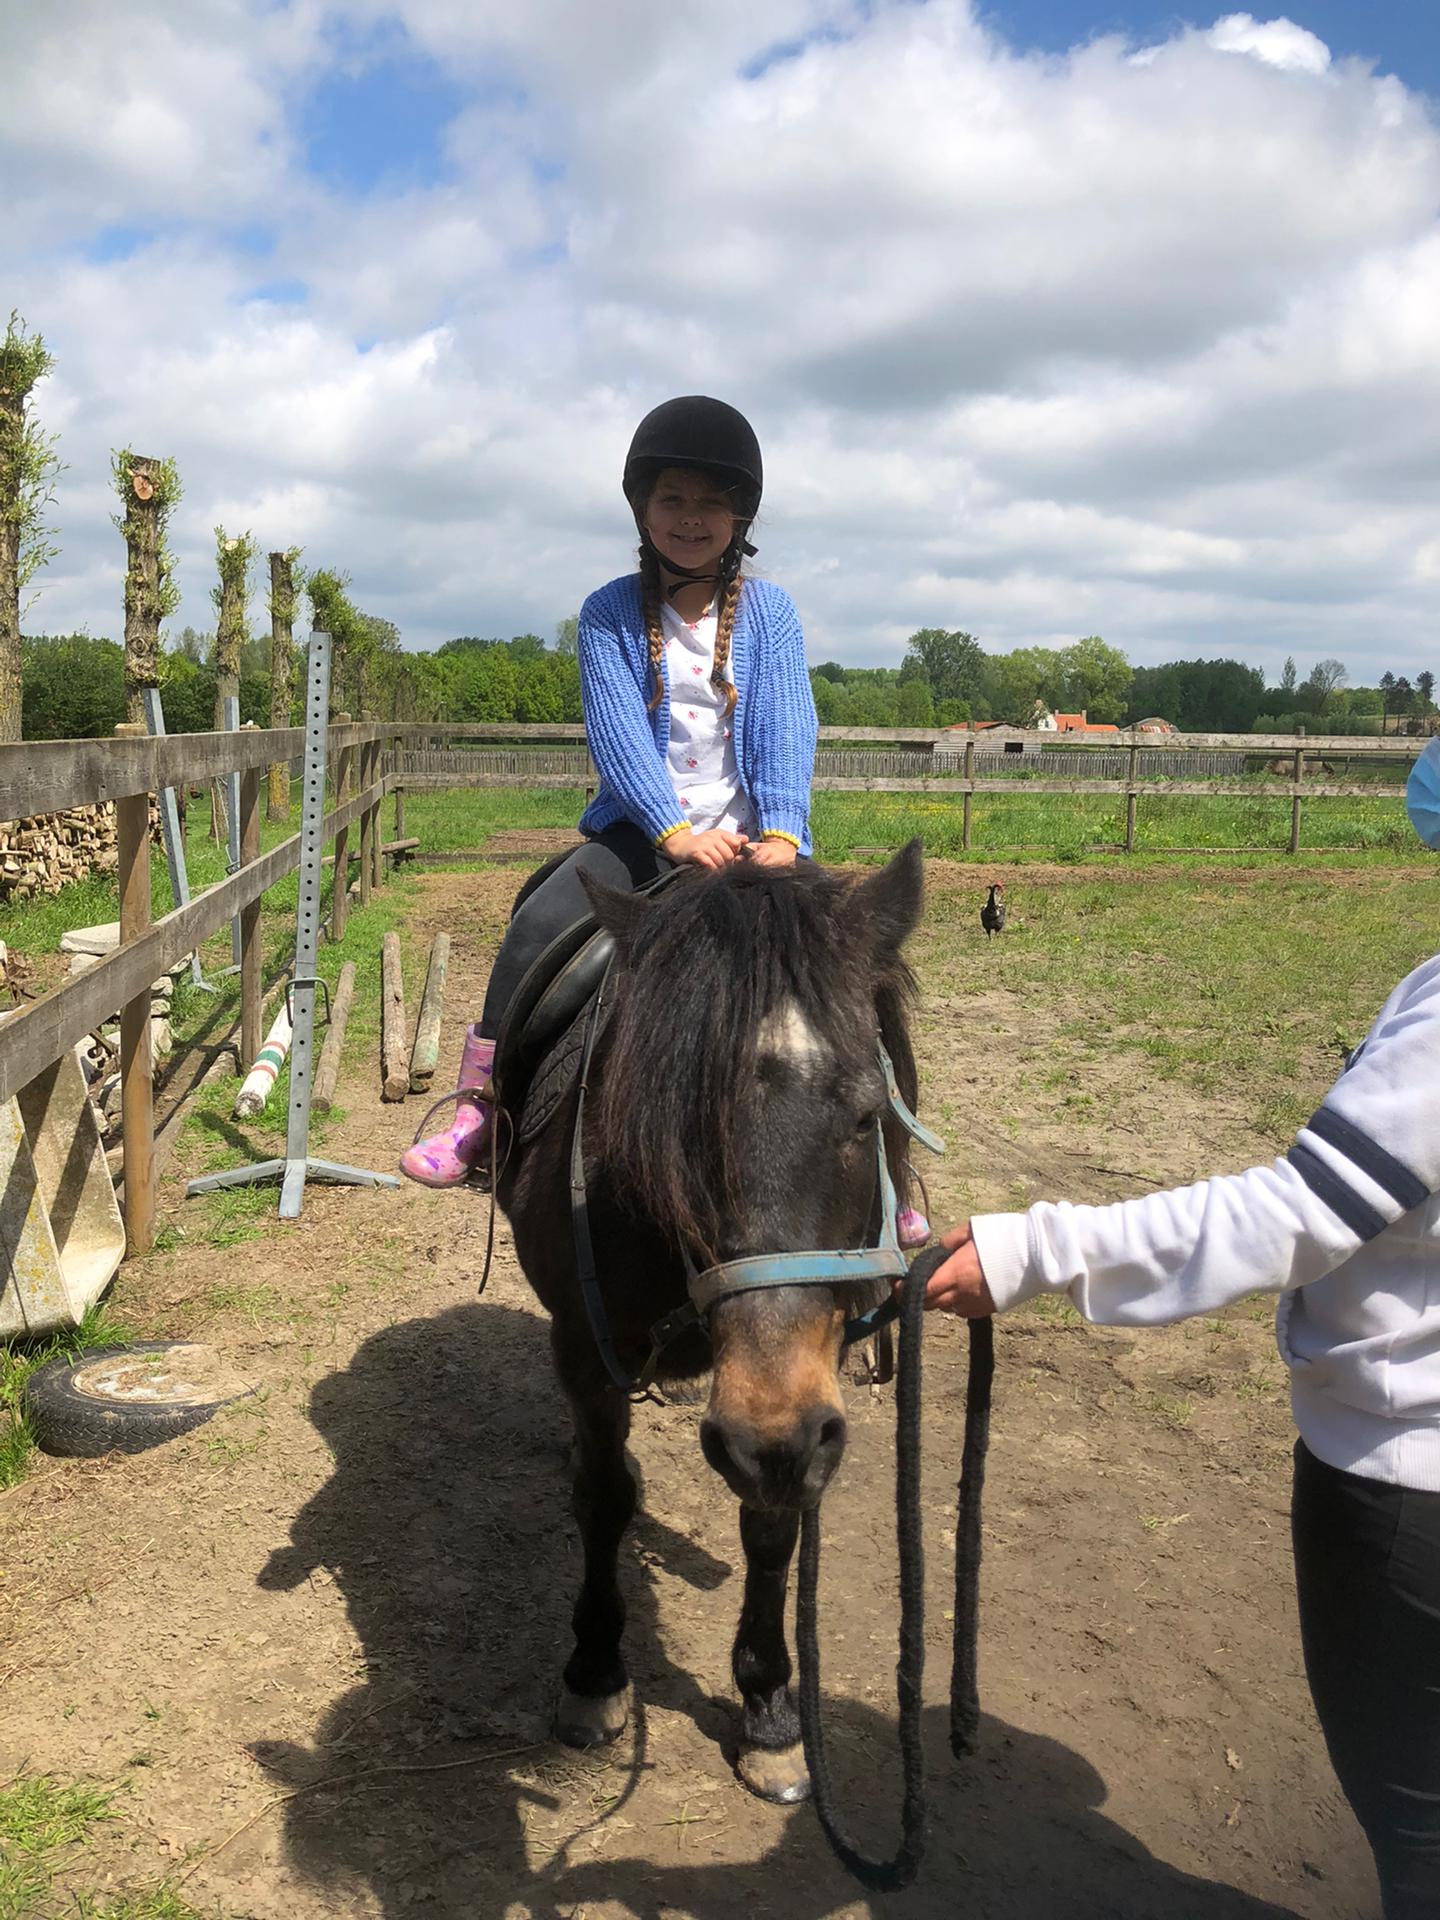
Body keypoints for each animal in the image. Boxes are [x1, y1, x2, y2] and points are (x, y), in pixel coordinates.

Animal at [495, 841, 926, 1805]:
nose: (768, 1435)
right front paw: (594, 1674)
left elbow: (772, 1521)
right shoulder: (586, 1348)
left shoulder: (800, 1401)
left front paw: (767, 1713)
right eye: (673, 1126)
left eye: (867, 1115)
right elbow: (605, 1498)